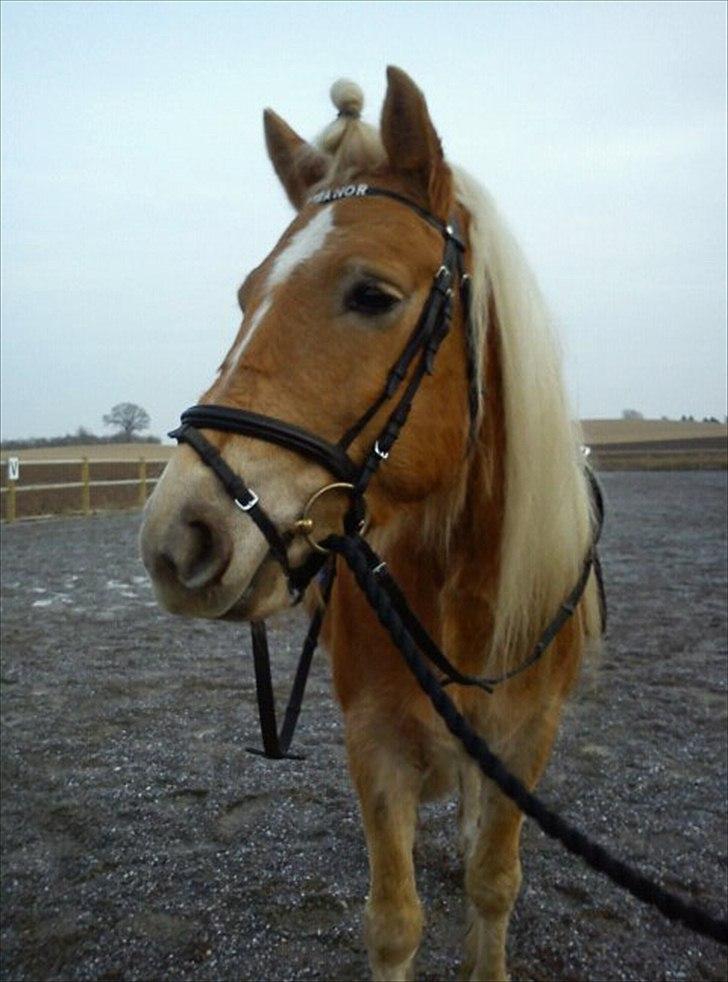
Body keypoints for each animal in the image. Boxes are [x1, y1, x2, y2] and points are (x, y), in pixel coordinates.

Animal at [139, 65, 600, 980]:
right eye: (245, 296)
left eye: (372, 295)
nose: (178, 538)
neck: (462, 590)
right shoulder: (374, 744)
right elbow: (393, 920)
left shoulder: (528, 737)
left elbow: (495, 881)